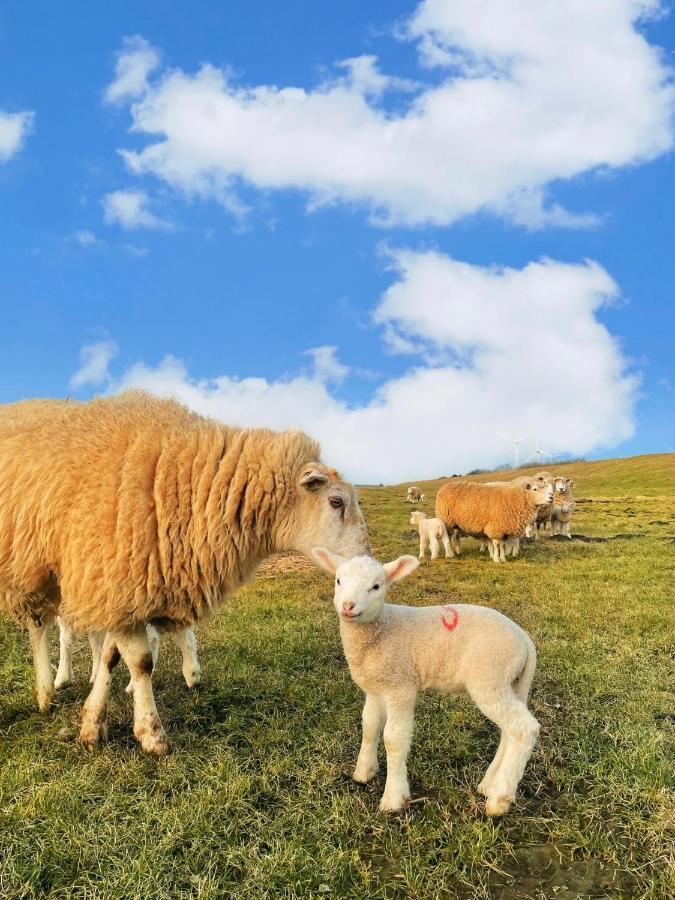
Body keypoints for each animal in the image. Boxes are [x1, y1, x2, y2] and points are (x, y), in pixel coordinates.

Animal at [54, 624, 202, 692]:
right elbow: (95, 640)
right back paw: (192, 676)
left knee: (150, 639)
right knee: (185, 635)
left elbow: (66, 636)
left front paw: (62, 679)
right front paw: (96, 676)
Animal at [312, 548, 540, 816]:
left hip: (489, 676)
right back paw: (489, 785)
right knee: (510, 730)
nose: (348, 606)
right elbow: (369, 726)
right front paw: (363, 772)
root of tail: (524, 638)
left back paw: (499, 800)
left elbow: (393, 738)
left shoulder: (401, 685)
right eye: (338, 580)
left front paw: (393, 798)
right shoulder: (376, 687)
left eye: (376, 586)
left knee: (524, 728)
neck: (381, 630)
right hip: (505, 681)